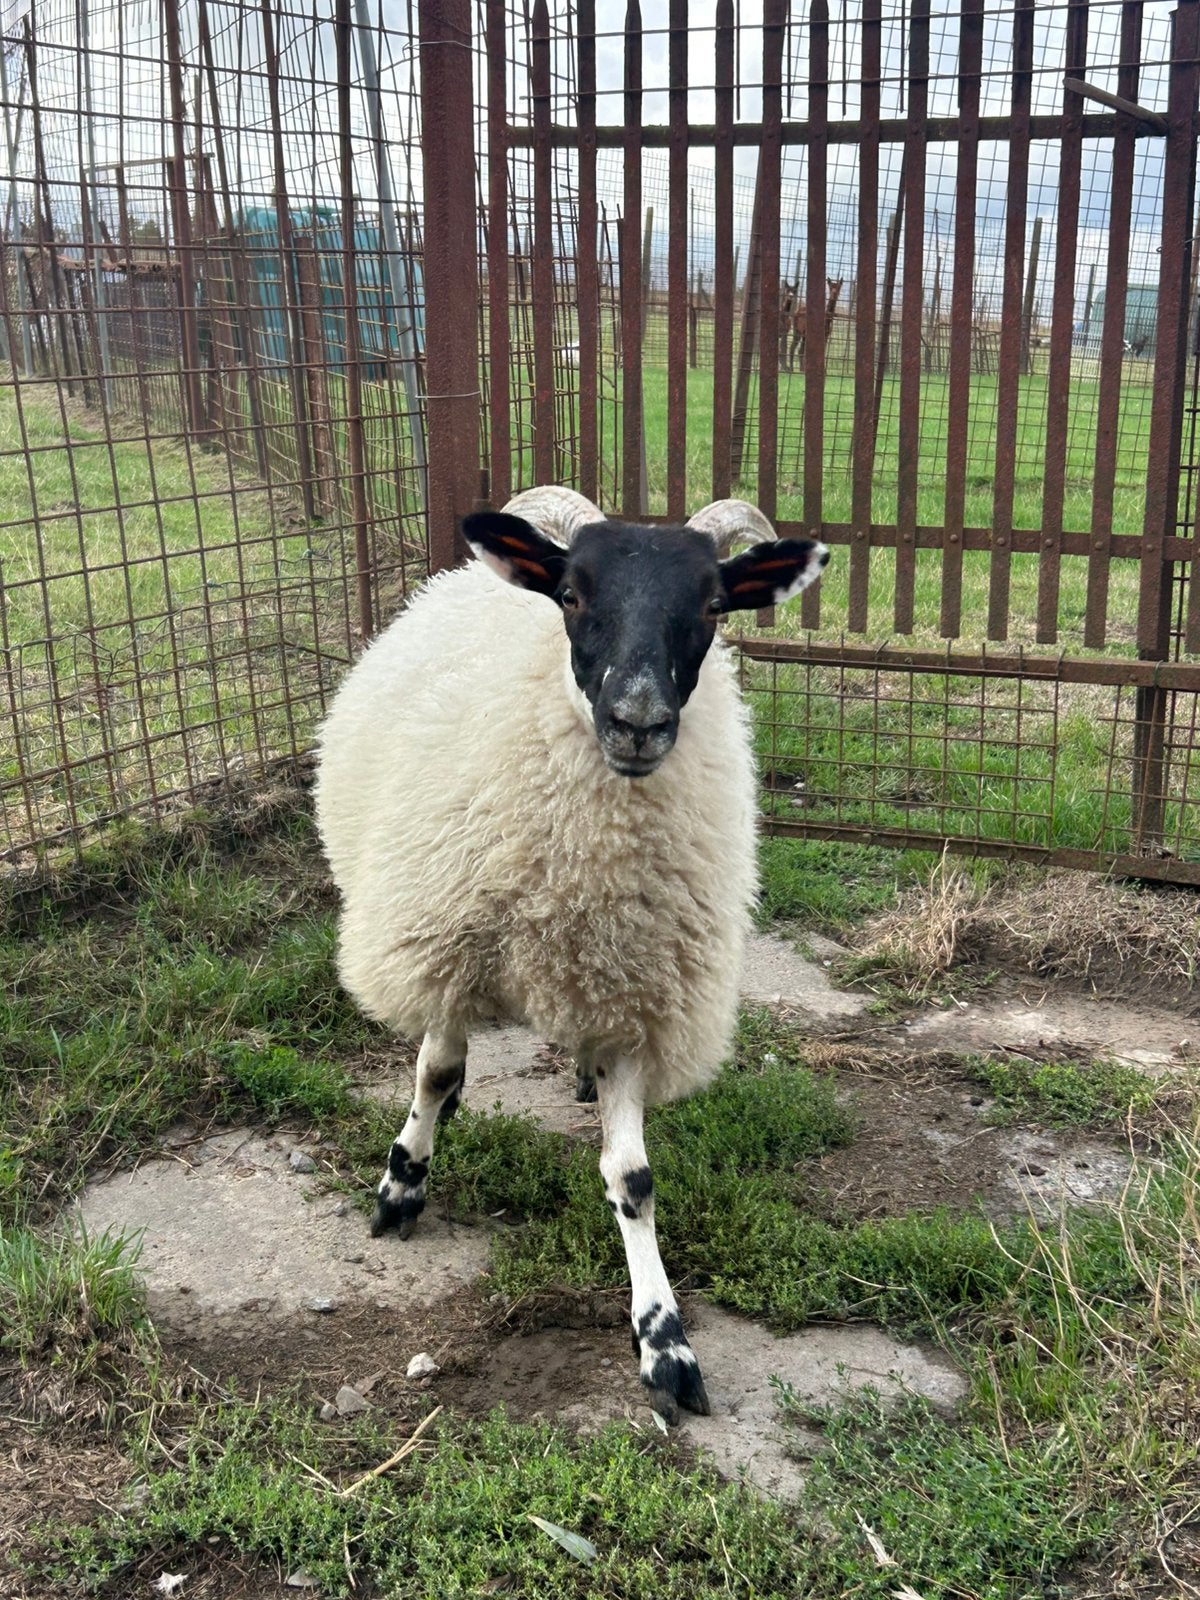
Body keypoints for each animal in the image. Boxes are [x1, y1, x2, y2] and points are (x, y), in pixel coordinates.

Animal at [313, 487, 829, 1423]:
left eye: (713, 604)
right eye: (573, 595)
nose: (638, 722)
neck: (587, 869)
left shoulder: (638, 997)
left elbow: (634, 1178)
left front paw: (664, 1343)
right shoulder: (448, 948)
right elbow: (436, 1075)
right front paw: (403, 1185)